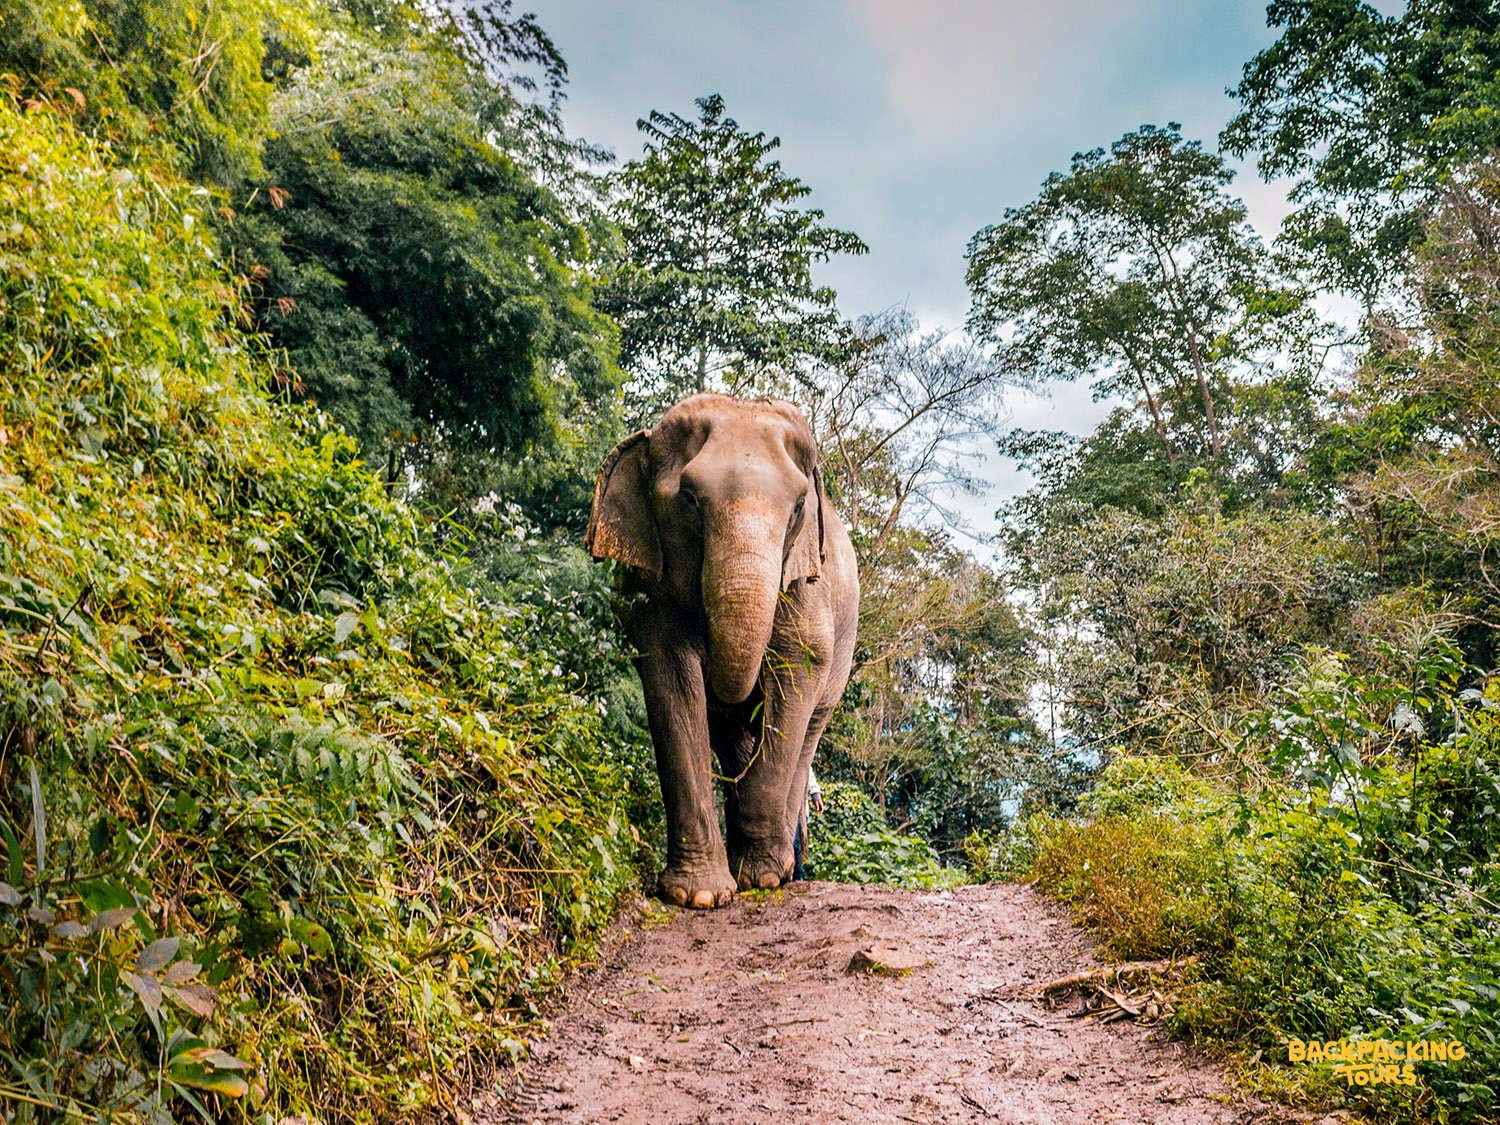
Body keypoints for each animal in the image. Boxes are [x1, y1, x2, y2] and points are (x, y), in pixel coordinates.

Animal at [585, 393, 859, 908]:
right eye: (689, 500)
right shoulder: (654, 595)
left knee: (808, 730)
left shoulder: (804, 585)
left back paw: (781, 869)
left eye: (798, 507)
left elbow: (797, 671)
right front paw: (698, 896)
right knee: (734, 740)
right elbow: (672, 680)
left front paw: (762, 879)